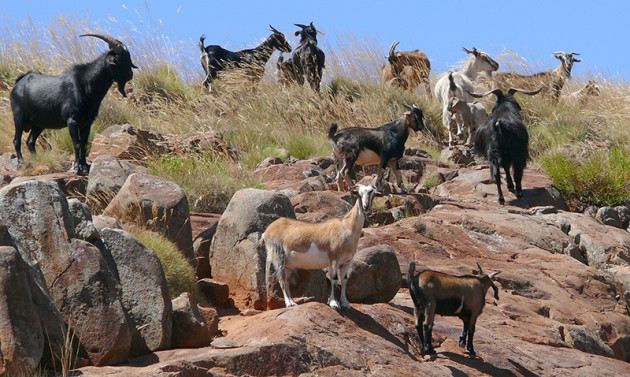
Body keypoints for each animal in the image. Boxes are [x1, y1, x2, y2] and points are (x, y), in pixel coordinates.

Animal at [8, 33, 138, 175]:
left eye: (129, 59)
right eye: (118, 60)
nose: (130, 74)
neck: (86, 84)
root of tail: (18, 83)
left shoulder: (87, 122)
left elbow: (84, 144)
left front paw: (85, 166)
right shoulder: (72, 120)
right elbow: (76, 143)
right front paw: (77, 167)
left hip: (39, 124)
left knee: (30, 141)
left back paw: (37, 160)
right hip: (19, 117)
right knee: (17, 140)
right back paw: (21, 162)